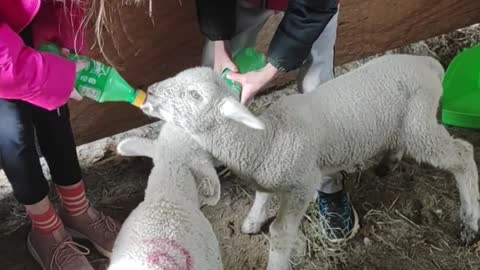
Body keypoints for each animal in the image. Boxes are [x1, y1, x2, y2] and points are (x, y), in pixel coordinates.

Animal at [140, 54, 480, 270]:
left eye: (195, 95)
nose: (151, 91)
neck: (266, 139)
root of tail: (429, 64)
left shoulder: (302, 185)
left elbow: (280, 233)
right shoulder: (269, 172)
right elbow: (262, 194)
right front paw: (253, 220)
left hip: (420, 123)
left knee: (463, 154)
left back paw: (470, 221)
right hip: (404, 122)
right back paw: (388, 162)